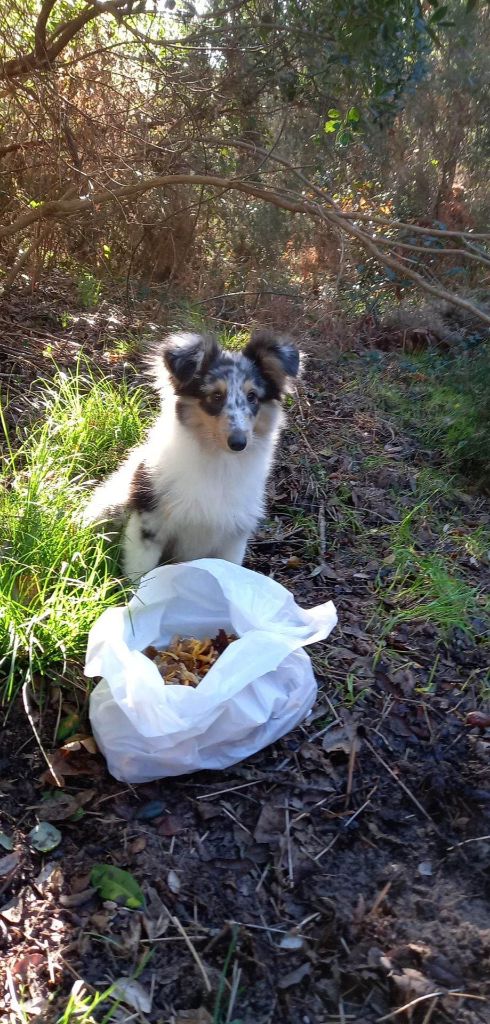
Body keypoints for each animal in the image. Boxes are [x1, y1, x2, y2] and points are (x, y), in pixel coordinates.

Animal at [82, 329, 300, 581]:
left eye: (252, 396)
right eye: (216, 396)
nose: (238, 443)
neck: (219, 464)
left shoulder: (233, 538)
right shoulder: (148, 524)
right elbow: (140, 575)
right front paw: (132, 592)